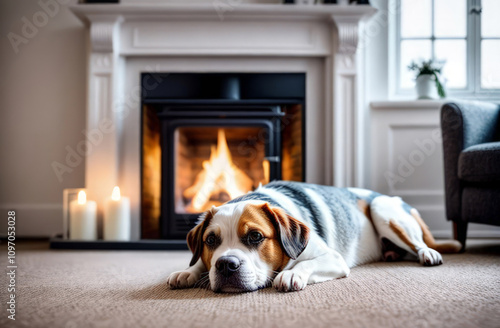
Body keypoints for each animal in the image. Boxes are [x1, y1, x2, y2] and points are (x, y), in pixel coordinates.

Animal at [167, 182, 460, 292]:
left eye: (255, 236)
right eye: (210, 241)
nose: (226, 265)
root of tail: (394, 198)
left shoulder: (333, 258)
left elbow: (306, 263)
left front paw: (292, 273)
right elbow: (199, 263)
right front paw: (188, 271)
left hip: (383, 211)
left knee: (419, 244)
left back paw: (427, 253)